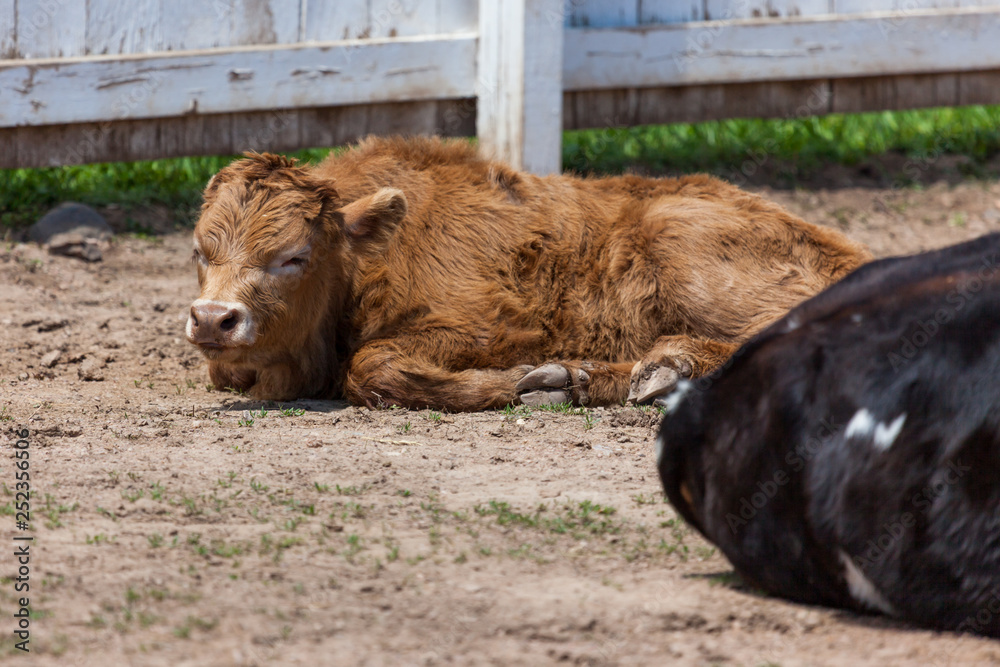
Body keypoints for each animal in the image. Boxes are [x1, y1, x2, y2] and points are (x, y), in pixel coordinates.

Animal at [186, 135, 870, 412]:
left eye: (294, 257)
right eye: (200, 251)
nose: (214, 320)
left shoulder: (484, 327)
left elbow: (373, 367)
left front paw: (508, 384)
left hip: (677, 242)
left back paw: (655, 367)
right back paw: (592, 377)